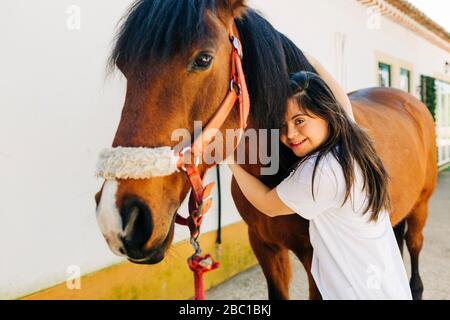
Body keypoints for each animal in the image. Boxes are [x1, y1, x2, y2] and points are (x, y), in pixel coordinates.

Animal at [94, 0, 436, 300]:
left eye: (203, 59)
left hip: (420, 207)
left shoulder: (315, 261)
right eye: (124, 66)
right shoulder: (264, 246)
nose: (118, 217)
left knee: (414, 249)